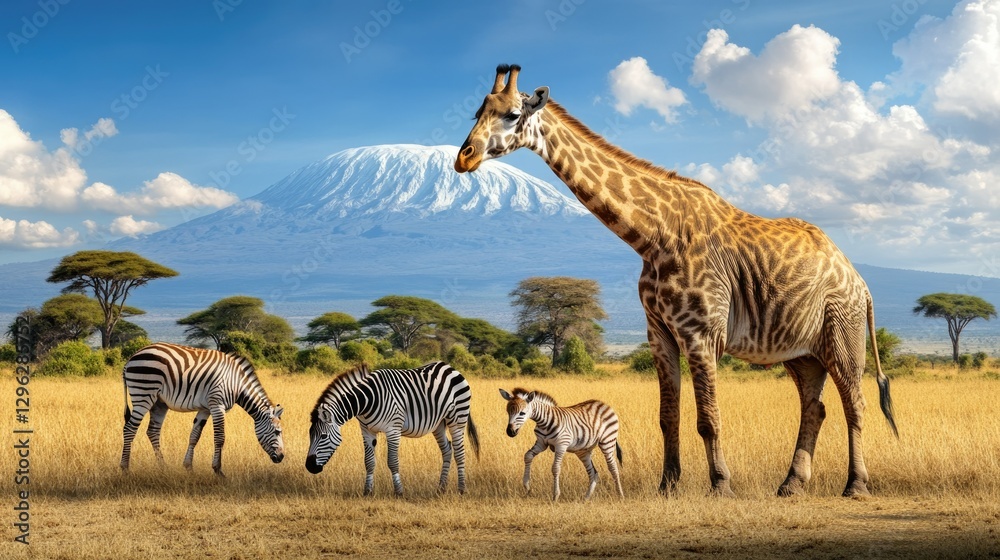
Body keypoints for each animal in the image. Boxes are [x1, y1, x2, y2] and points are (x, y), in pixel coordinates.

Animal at [120, 342, 285, 477]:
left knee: (152, 431)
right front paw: (218, 470)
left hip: (159, 403)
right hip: (143, 393)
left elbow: (194, 436)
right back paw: (125, 469)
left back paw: (163, 467)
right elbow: (220, 438)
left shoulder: (205, 408)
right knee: (129, 429)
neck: (237, 384)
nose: (282, 457)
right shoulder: (217, 405)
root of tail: (131, 358)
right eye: (277, 432)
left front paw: (188, 467)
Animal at [306, 361, 480, 496]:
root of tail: (450, 367)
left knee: (459, 452)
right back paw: (440, 489)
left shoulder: (393, 429)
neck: (367, 400)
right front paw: (367, 491)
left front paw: (399, 491)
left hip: (457, 418)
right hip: (439, 423)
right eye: (310, 436)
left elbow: (392, 461)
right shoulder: (367, 430)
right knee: (447, 450)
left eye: (323, 436)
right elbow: (369, 462)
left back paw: (461, 489)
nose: (309, 466)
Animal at [454, 64, 898, 498]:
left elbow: (709, 418)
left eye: (513, 114)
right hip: (801, 352)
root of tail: (860, 281)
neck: (652, 237)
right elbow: (667, 417)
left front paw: (721, 485)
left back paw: (856, 486)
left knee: (854, 403)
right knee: (815, 406)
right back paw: (790, 485)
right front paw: (668, 484)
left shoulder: (701, 333)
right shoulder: (660, 334)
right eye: (476, 112)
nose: (464, 158)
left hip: (843, 334)